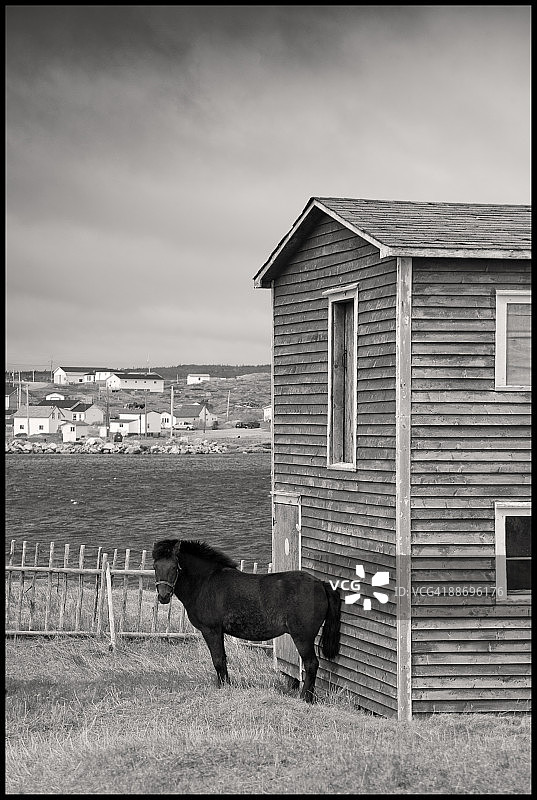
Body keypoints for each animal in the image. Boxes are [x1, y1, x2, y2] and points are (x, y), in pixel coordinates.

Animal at [152, 538, 341, 702]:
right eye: (155, 566)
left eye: (175, 567)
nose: (163, 596)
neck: (205, 582)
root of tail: (320, 584)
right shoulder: (219, 632)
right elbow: (223, 659)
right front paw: (226, 684)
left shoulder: (211, 630)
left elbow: (218, 660)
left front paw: (222, 687)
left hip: (302, 637)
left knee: (311, 664)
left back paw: (305, 698)